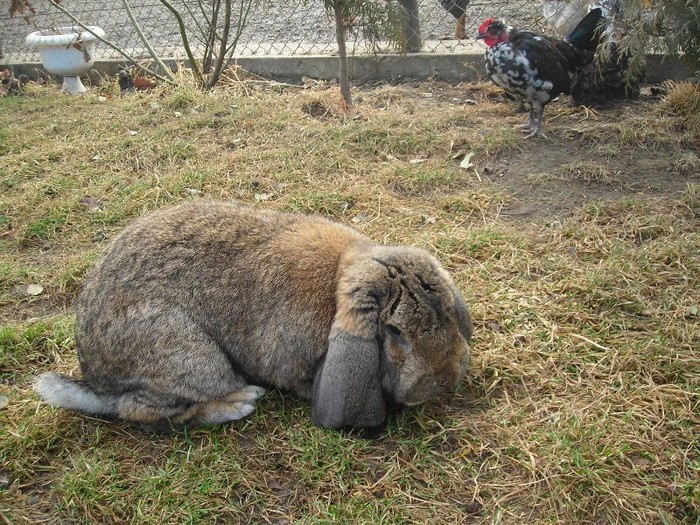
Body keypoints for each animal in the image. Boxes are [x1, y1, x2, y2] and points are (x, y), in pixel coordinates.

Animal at [34, 199, 470, 428]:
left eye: (449, 314)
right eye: (395, 334)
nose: (443, 382)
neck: (337, 281)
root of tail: (96, 380)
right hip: (191, 357)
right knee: (144, 411)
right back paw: (237, 402)